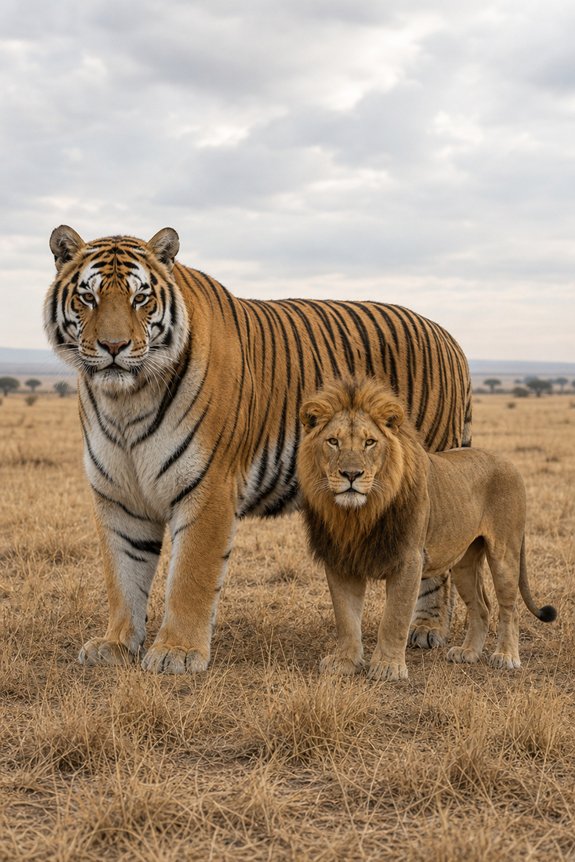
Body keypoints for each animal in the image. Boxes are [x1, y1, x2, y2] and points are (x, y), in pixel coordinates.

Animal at [44, 225, 472, 674]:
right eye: (88, 297)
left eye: (140, 298)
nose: (113, 347)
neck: (125, 401)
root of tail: (448, 336)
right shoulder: (117, 494)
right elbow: (123, 574)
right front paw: (115, 644)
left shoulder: (208, 487)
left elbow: (190, 576)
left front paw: (177, 652)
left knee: (435, 563)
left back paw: (427, 630)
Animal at [297, 378, 556, 681]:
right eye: (333, 441)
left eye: (370, 442)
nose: (351, 474)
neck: (358, 515)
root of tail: (508, 462)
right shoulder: (341, 561)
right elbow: (346, 617)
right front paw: (345, 662)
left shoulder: (409, 559)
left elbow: (395, 617)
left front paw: (387, 667)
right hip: (464, 562)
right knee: (481, 606)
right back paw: (468, 652)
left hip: (505, 553)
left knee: (509, 607)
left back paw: (505, 656)